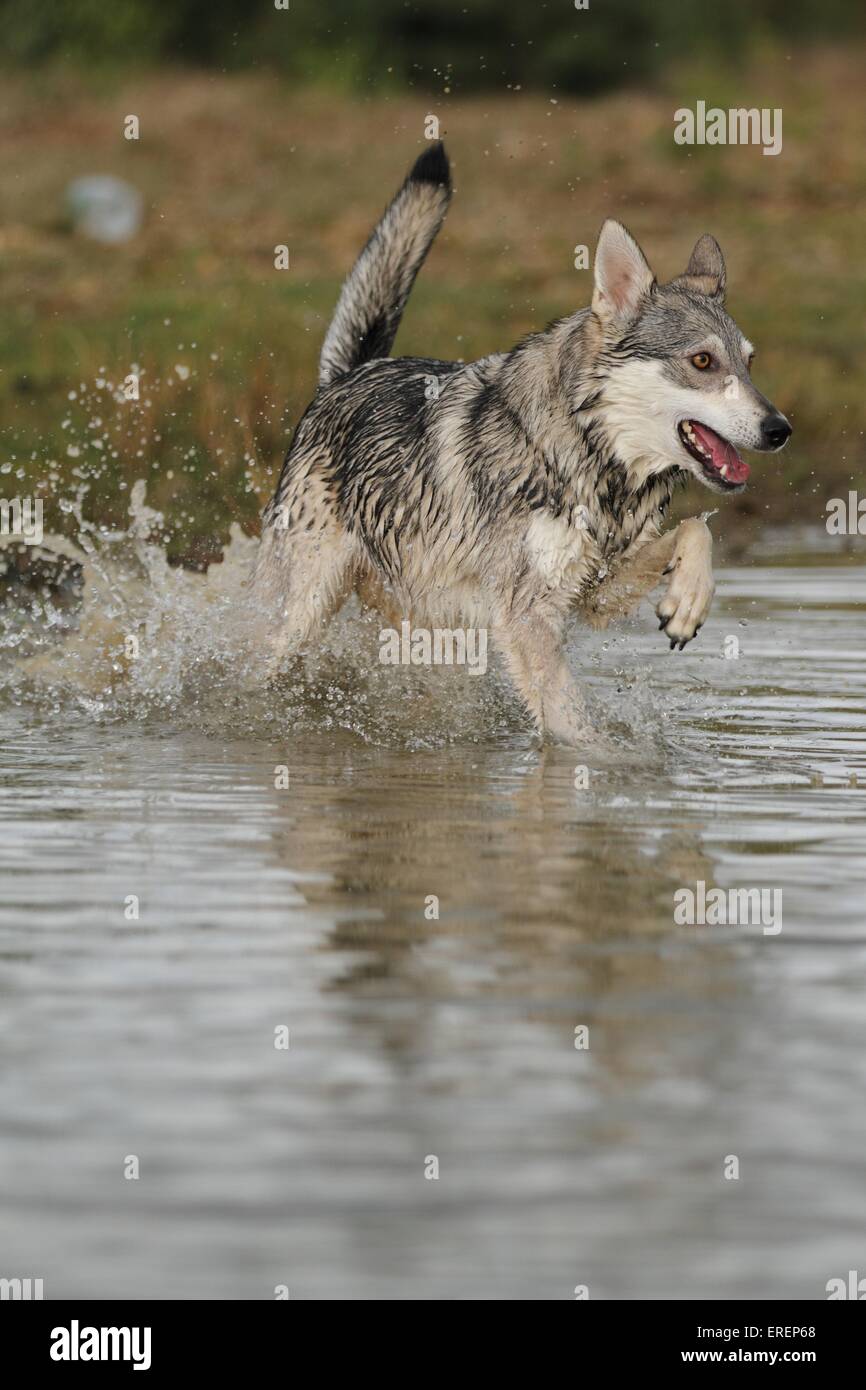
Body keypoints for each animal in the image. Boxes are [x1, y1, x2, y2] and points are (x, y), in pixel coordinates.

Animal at [250, 142, 795, 745]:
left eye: (748, 364)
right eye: (702, 361)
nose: (780, 429)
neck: (595, 465)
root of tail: (346, 375)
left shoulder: (595, 593)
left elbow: (698, 530)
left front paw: (687, 605)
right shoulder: (527, 615)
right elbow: (574, 725)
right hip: (300, 614)